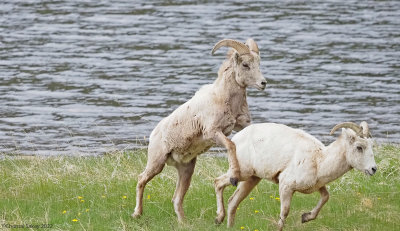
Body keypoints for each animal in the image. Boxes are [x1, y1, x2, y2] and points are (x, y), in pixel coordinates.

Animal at [133, 38, 268, 222]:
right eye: (245, 64)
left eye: (259, 63)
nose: (263, 83)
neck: (225, 98)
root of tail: (154, 134)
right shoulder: (213, 132)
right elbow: (231, 145)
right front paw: (233, 177)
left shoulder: (241, 125)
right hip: (157, 163)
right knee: (141, 180)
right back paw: (137, 214)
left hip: (186, 170)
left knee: (176, 199)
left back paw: (184, 223)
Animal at [214, 122, 376, 230]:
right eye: (359, 147)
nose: (373, 169)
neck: (319, 161)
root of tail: (236, 139)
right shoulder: (285, 186)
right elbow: (285, 211)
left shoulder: (318, 186)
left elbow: (325, 197)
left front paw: (305, 217)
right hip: (242, 173)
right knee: (218, 182)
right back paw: (218, 218)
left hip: (252, 179)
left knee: (233, 201)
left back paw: (228, 225)